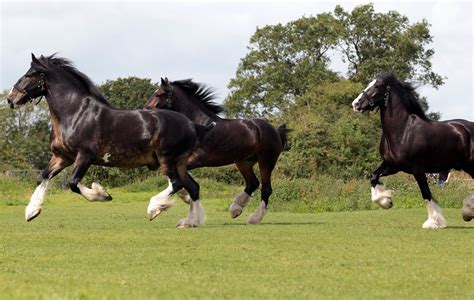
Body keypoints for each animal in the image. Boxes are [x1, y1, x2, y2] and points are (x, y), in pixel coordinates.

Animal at [6, 54, 211, 227]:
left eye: (30, 74)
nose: (10, 99)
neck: (75, 113)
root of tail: (191, 124)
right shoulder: (62, 157)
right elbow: (43, 176)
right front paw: (32, 212)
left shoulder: (85, 156)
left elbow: (73, 183)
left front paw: (102, 194)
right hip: (180, 162)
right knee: (192, 187)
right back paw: (191, 221)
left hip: (167, 158)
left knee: (176, 183)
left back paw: (155, 209)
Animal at [143, 78, 288, 224]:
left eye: (159, 94)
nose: (145, 110)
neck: (201, 126)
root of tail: (275, 130)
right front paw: (185, 198)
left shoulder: (197, 159)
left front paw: (156, 208)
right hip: (243, 162)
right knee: (252, 183)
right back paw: (235, 209)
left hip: (266, 161)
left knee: (266, 189)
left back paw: (254, 218)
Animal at [352, 72, 474, 230]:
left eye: (377, 86)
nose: (356, 104)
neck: (403, 130)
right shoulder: (392, 166)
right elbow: (373, 177)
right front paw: (387, 201)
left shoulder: (418, 169)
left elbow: (426, 193)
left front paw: (433, 222)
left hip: (471, 165)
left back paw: (467, 211)